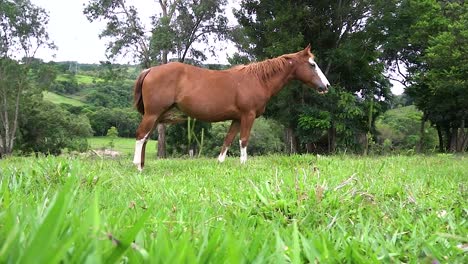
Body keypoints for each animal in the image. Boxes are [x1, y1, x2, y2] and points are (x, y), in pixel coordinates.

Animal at [132, 44, 330, 170]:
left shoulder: (237, 118)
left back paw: (142, 165)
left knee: (146, 138)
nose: (326, 86)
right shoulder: (248, 116)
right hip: (153, 113)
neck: (257, 79)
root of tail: (150, 70)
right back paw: (138, 167)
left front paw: (220, 163)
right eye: (312, 64)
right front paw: (243, 164)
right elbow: (243, 140)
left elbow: (227, 140)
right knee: (141, 136)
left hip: (157, 115)